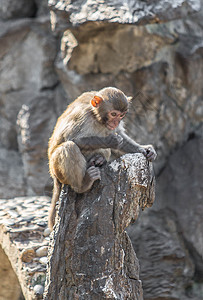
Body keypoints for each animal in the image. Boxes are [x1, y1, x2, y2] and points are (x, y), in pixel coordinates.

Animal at [48, 86, 157, 230]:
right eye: (113, 114)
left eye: (121, 115)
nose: (116, 122)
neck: (96, 116)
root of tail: (54, 176)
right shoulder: (82, 115)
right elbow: (70, 138)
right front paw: (110, 141)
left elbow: (121, 136)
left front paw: (145, 150)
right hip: (56, 168)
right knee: (68, 147)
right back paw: (83, 185)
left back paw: (98, 160)